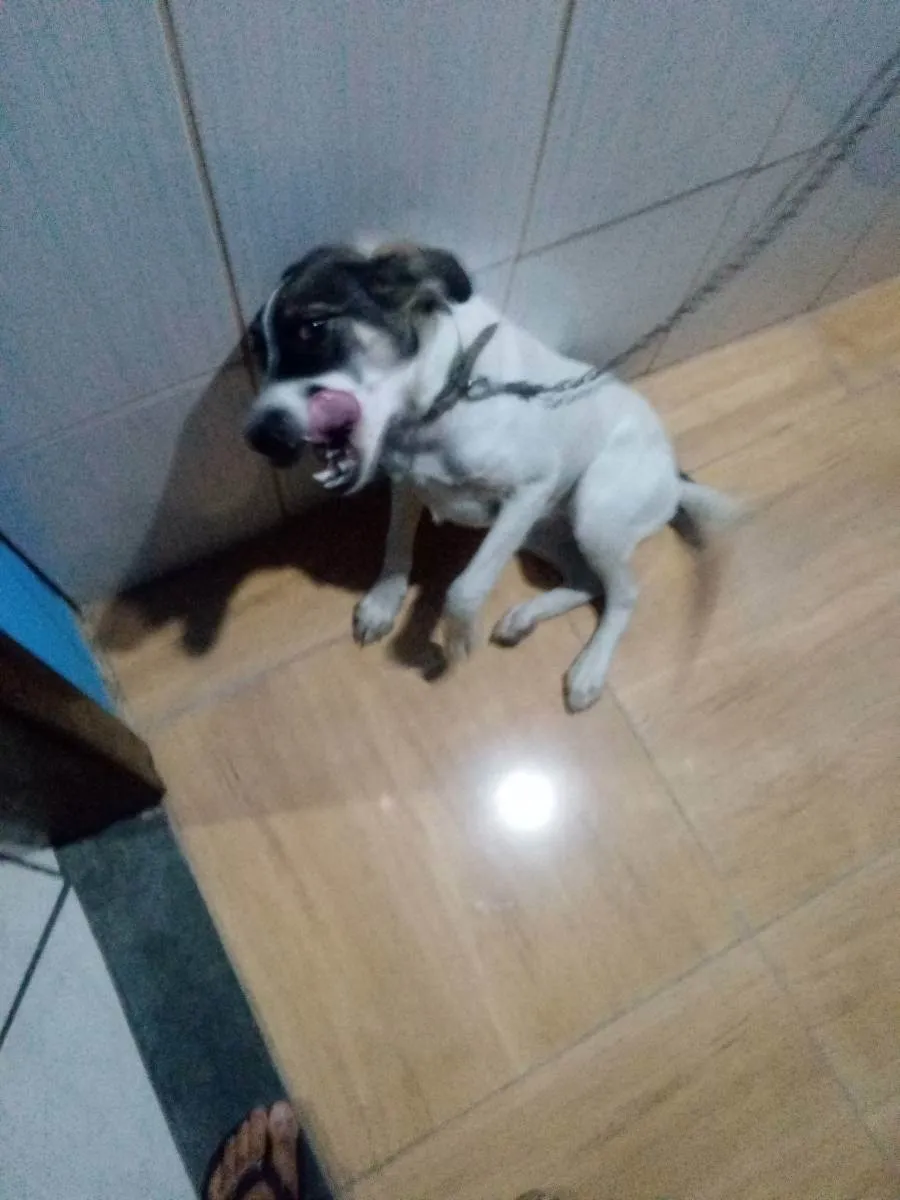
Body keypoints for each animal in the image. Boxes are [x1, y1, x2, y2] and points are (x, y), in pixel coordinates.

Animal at [244, 242, 737, 711]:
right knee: (588, 580)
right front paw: (383, 602)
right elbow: (396, 545)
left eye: (312, 328)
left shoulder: (530, 489)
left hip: (593, 515)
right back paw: (525, 618)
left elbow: (464, 587)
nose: (259, 439)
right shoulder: (406, 484)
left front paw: (456, 637)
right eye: (259, 354)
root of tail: (673, 475)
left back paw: (589, 670)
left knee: (625, 593)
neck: (443, 398)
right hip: (542, 530)